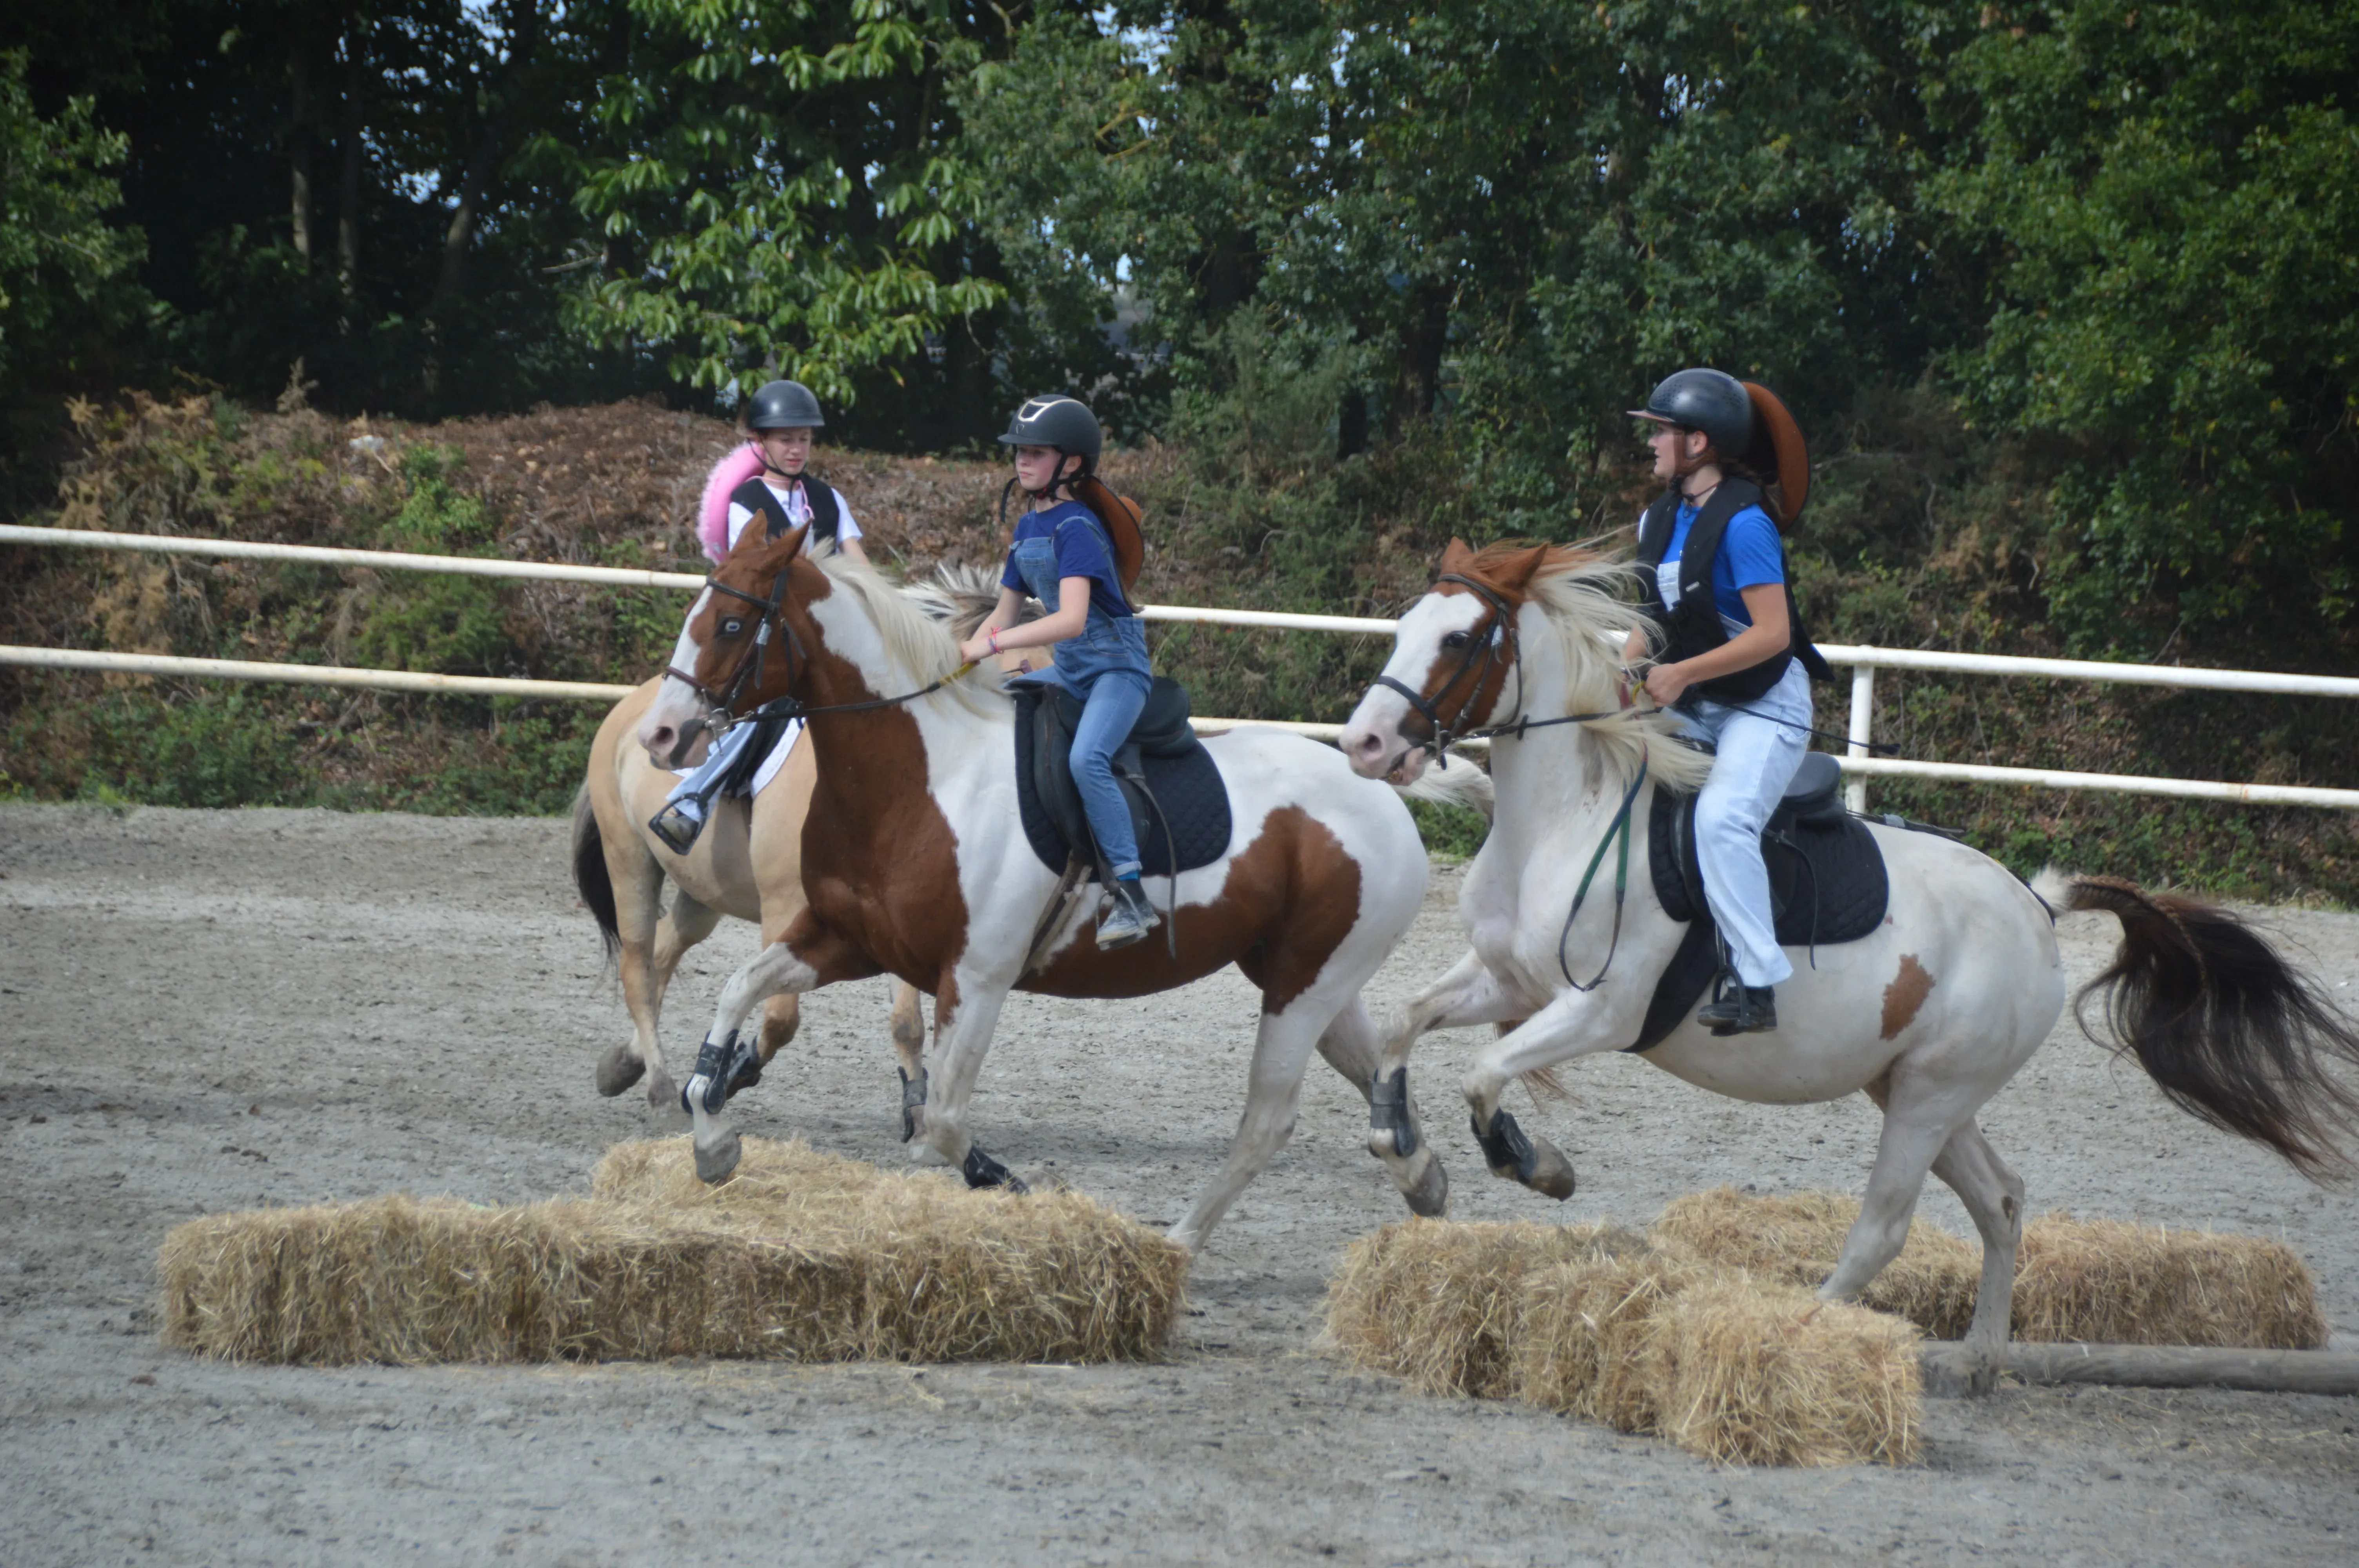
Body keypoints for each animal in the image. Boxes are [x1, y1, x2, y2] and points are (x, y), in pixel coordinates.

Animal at [633, 526, 1487, 1251]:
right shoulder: (844, 941)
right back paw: (1425, 1179)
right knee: (1378, 1072)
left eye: (732, 626)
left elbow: (945, 1118)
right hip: (1306, 978)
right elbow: (734, 1001)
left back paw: (1179, 1242)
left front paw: (1006, 1185)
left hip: (1304, 988)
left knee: (1269, 1120)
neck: (921, 777)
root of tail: (1378, 792)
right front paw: (713, 1143)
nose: (660, 734)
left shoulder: (976, 979)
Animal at [1336, 537, 2359, 1387]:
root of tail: (2034, 904)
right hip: (1915, 1089)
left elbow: (1483, 1074)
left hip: (1928, 1098)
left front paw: (1535, 1164)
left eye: (1461, 636)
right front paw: (1411, 1162)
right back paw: (1976, 1361)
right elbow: (1405, 1025)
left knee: (1883, 1227)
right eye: (1405, 625)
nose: (1364, 743)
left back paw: (1796, 1333)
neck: (1565, 818)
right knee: (2001, 1200)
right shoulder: (1509, 980)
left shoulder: (1598, 1011)